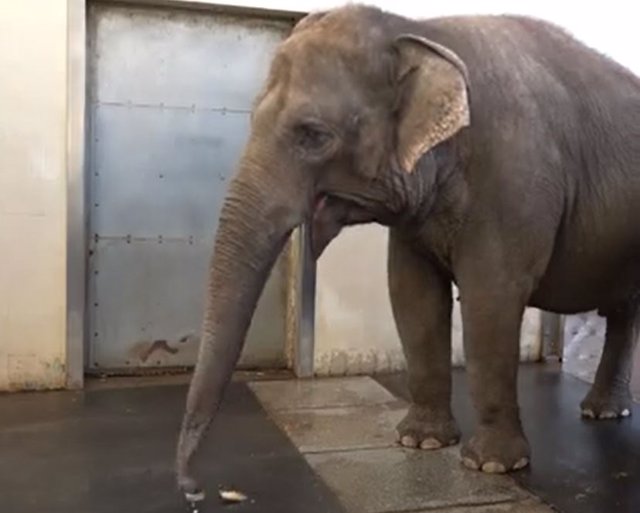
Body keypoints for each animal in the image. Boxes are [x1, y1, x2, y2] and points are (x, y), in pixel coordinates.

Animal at [172, 3, 640, 500]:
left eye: (313, 135)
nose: (194, 488)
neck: (421, 31)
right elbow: (411, 294)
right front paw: (421, 442)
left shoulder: (514, 182)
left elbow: (491, 299)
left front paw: (491, 466)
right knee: (624, 312)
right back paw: (601, 412)